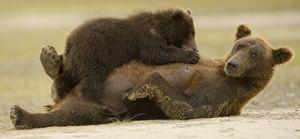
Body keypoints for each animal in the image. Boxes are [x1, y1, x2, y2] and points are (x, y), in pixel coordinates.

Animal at [10, 23, 292, 129]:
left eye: (255, 54)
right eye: (239, 46)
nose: (233, 65)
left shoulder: (224, 95)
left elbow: (186, 105)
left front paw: (134, 90)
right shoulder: (211, 65)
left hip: (100, 105)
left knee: (76, 113)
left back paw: (20, 115)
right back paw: (49, 61)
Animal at [40, 7, 199, 103]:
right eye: (189, 32)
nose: (196, 49)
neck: (162, 29)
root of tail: (70, 41)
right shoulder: (146, 38)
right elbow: (158, 53)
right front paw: (191, 56)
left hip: (76, 59)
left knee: (68, 75)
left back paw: (55, 88)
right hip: (93, 53)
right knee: (92, 76)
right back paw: (96, 102)